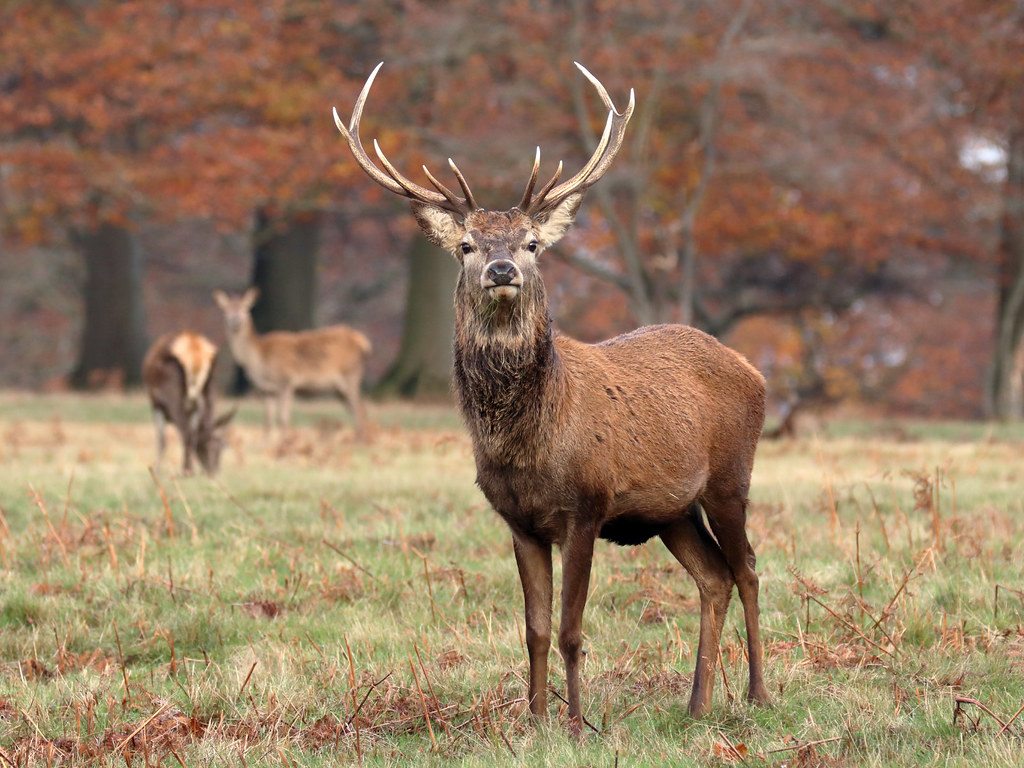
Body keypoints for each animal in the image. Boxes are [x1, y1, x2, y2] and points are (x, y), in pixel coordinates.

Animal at [142, 331, 236, 476]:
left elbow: (162, 440)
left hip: (171, 392)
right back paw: (188, 470)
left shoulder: (157, 404)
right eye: (220, 445)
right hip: (209, 388)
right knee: (192, 434)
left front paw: (157, 470)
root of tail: (195, 355)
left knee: (185, 432)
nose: (214, 471)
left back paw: (186, 471)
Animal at [213, 288, 371, 440]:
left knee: (360, 408)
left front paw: (285, 441)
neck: (259, 360)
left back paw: (360, 440)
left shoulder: (286, 381)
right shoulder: (266, 389)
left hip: (351, 374)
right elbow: (268, 418)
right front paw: (265, 441)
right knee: (356, 408)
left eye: (246, 309)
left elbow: (283, 416)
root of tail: (362, 342)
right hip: (339, 387)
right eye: (226, 310)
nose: (236, 320)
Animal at [333, 62, 769, 730]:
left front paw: (577, 727)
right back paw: (696, 706)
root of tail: (754, 371)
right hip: (672, 510)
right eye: (467, 245)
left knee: (747, 570)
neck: (528, 443)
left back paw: (757, 694)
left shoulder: (586, 505)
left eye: (532, 243)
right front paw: (536, 722)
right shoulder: (520, 521)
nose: (502, 269)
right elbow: (535, 630)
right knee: (714, 578)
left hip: (730, 478)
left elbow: (570, 630)